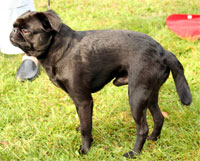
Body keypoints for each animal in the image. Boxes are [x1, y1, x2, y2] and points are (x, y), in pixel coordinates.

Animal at [9, 9, 192, 157]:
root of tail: (163, 52)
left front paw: (85, 149)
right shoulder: (79, 101)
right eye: (15, 27)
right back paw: (153, 139)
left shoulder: (83, 101)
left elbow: (85, 128)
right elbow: (85, 123)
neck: (59, 48)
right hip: (150, 94)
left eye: (26, 30)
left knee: (142, 128)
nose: (13, 31)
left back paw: (134, 153)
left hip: (136, 96)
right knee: (159, 117)